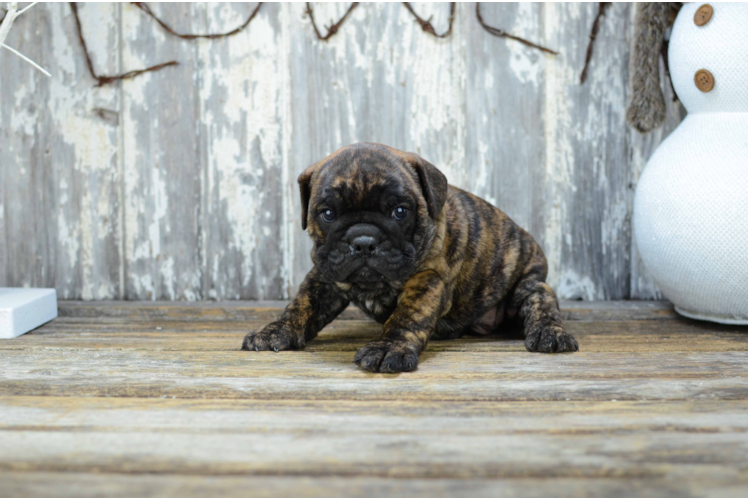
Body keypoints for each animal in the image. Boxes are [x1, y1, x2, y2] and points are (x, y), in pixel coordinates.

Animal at [243, 142, 580, 372]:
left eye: (399, 211)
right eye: (327, 214)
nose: (363, 241)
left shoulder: (427, 280)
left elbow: (407, 316)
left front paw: (387, 347)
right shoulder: (324, 274)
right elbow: (301, 305)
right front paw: (276, 330)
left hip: (529, 285)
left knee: (541, 304)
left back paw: (550, 334)